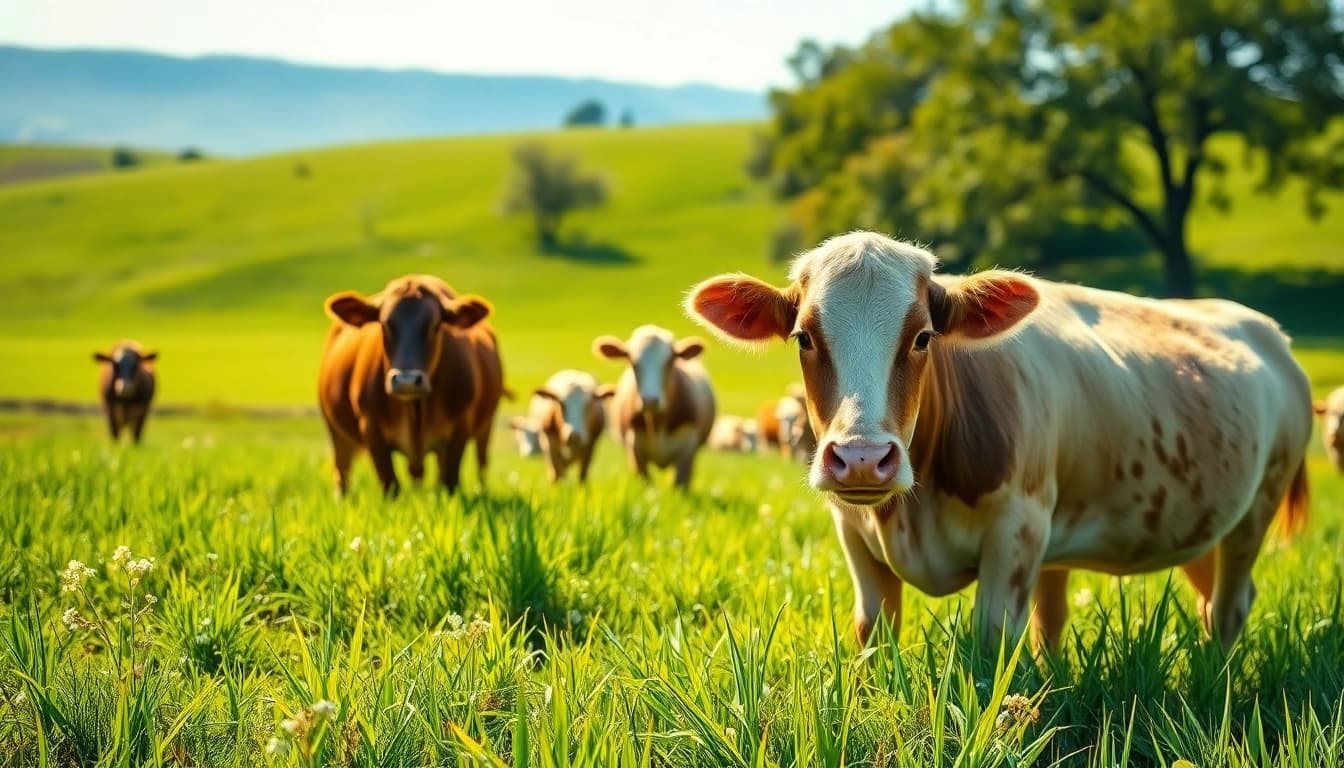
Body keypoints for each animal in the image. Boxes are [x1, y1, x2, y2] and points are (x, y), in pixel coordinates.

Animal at [318, 274, 504, 496]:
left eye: (435, 325)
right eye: (384, 325)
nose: (406, 381)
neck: (415, 410)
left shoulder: (460, 427)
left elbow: (449, 482)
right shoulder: (371, 428)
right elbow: (390, 484)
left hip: (485, 427)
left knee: (481, 464)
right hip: (335, 431)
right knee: (342, 471)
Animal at [593, 325, 716, 488]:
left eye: (670, 361)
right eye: (633, 363)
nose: (650, 400)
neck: (657, 423)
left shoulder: (687, 450)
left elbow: (680, 485)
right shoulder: (635, 451)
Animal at [687, 231, 1312, 651]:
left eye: (923, 337)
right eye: (803, 337)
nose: (862, 459)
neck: (912, 515)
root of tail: (1268, 330)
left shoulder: (1019, 527)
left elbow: (994, 638)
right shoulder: (853, 530)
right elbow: (874, 629)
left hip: (1259, 505)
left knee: (1230, 607)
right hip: (1203, 520)